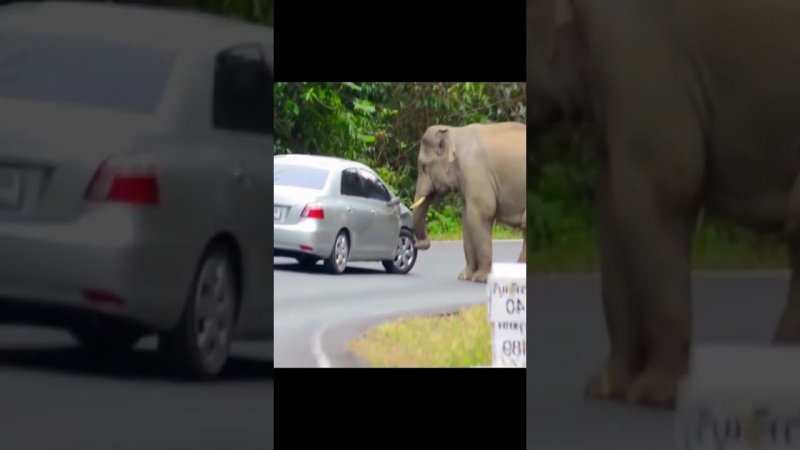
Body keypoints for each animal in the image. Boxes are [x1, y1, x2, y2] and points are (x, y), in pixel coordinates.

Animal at [410, 121, 528, 284]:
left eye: (423, 167)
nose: (419, 244)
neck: (456, 133)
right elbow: (466, 220)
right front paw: (465, 276)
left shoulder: (475, 171)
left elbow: (480, 214)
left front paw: (480, 278)